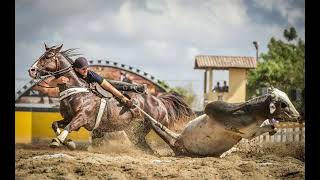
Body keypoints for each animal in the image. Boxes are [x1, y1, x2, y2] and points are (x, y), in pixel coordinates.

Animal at [27, 44, 194, 152]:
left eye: (48, 56)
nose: (31, 70)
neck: (76, 91)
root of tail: (159, 101)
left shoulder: (81, 117)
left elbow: (69, 127)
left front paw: (58, 142)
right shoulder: (69, 117)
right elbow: (55, 124)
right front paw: (69, 143)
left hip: (158, 127)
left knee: (172, 142)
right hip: (136, 133)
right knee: (148, 150)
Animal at [146, 88, 302, 157]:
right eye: (283, 104)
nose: (298, 116)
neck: (250, 113)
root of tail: (179, 138)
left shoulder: (250, 133)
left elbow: (269, 127)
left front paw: (273, 128)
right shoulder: (214, 109)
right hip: (176, 144)